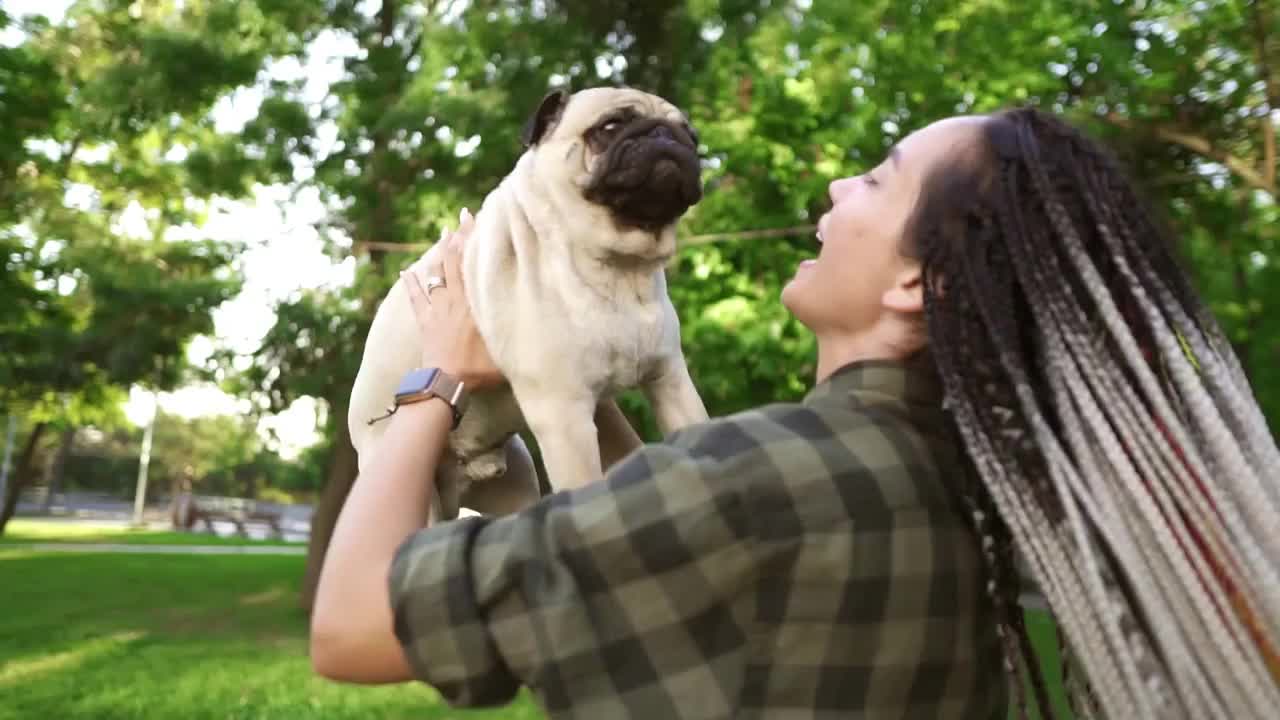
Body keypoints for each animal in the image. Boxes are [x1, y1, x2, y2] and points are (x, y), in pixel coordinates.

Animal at [348, 87, 711, 517]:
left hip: (514, 487)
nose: (665, 135)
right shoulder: (564, 415)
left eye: (692, 138)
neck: (619, 266)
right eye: (610, 127)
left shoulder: (671, 382)